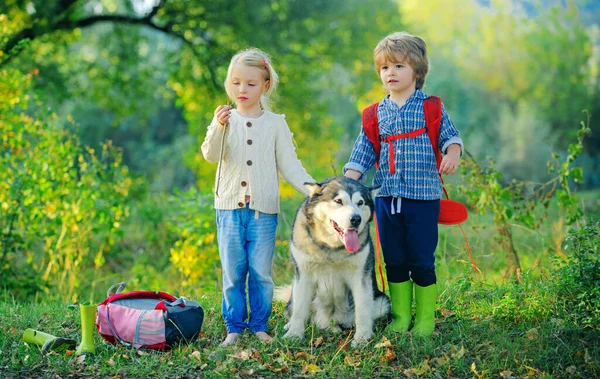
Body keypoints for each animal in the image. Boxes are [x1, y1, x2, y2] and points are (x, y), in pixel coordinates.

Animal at [280, 178, 392, 348]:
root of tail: (329, 321)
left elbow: (362, 310)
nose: (356, 219)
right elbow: (299, 310)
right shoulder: (304, 275)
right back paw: (290, 324)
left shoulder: (360, 277)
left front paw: (362, 338)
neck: (331, 247)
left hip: (382, 303)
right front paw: (294, 335)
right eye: (339, 201)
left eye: (360, 202)